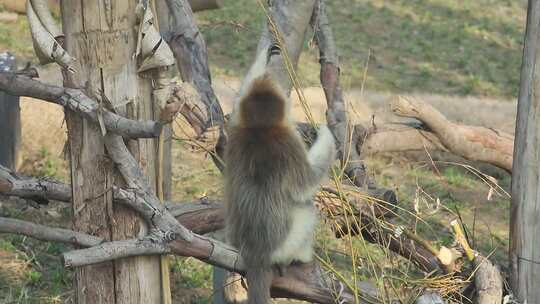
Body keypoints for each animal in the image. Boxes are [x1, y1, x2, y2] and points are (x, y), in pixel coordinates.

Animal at [223, 46, 334, 302]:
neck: (261, 130)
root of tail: (256, 254)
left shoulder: (236, 131)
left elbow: (239, 101)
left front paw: (264, 57)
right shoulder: (288, 140)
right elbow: (307, 183)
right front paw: (326, 132)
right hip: (287, 241)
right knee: (306, 209)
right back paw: (302, 256)